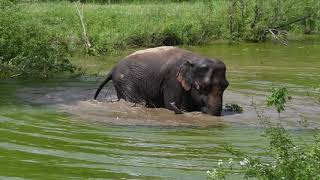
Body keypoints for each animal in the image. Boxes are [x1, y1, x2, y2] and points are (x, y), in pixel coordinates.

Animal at [94, 46, 229, 116]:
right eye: (201, 87)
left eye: (226, 86)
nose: (204, 110)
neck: (194, 59)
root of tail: (113, 69)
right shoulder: (172, 79)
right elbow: (171, 104)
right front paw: (180, 109)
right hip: (125, 81)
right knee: (136, 102)